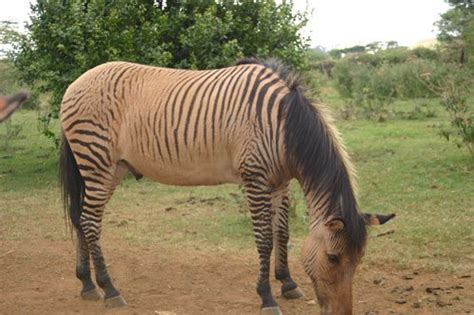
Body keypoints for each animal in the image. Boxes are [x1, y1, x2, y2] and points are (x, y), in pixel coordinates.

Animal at [58, 58, 392, 314]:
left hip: (109, 168)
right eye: (333, 258)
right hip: (97, 162)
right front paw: (267, 297)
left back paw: (87, 283)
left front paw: (287, 283)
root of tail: (76, 82)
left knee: (81, 219)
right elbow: (264, 240)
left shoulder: (280, 182)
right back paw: (110, 289)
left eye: (359, 260)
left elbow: (282, 234)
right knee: (90, 222)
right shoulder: (255, 178)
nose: (343, 313)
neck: (285, 128)